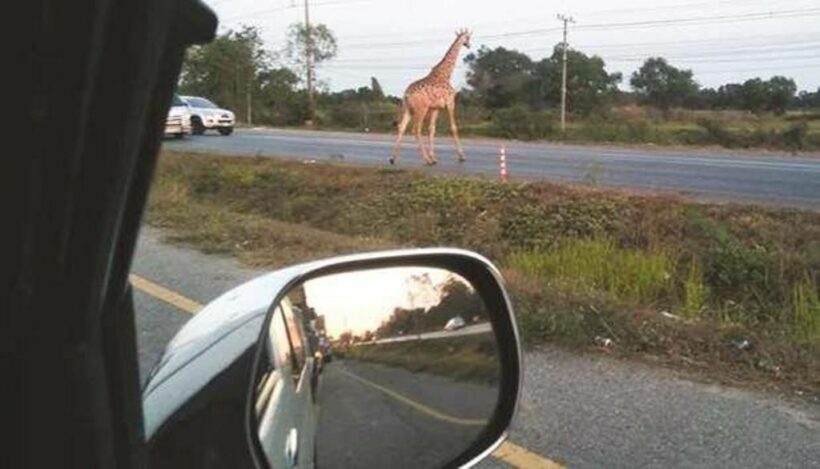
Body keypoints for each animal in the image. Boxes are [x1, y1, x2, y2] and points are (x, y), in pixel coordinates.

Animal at [392, 28, 474, 165]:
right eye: (468, 37)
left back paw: (393, 159)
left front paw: (433, 157)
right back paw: (426, 160)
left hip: (408, 109)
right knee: (416, 129)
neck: (446, 74)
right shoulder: (450, 103)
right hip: (421, 109)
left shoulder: (436, 108)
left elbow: (432, 130)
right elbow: (453, 127)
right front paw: (461, 156)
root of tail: (407, 94)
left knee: (401, 127)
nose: (469, 45)